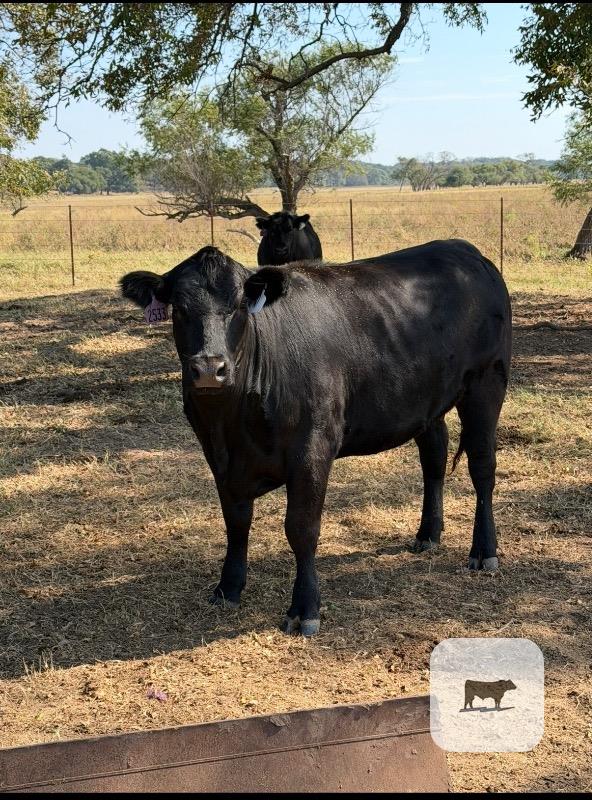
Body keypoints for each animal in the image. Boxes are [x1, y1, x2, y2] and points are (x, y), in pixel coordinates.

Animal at [120, 239, 512, 636]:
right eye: (180, 309)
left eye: (240, 305)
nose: (208, 368)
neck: (232, 424)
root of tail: (464, 250)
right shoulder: (219, 458)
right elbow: (236, 523)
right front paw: (228, 588)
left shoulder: (313, 447)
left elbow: (301, 528)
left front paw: (304, 608)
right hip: (426, 400)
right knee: (434, 457)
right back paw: (428, 534)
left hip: (486, 384)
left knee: (482, 468)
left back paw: (483, 552)